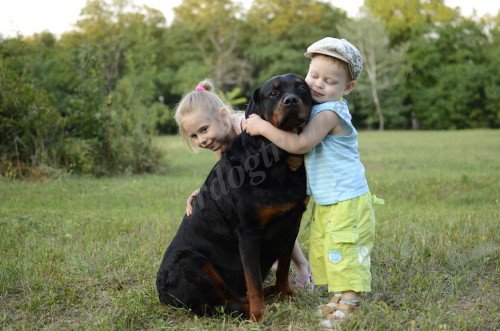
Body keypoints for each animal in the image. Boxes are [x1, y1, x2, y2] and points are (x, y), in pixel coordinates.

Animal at [156, 72, 312, 322]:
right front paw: (259, 316)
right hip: (190, 261)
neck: (277, 158)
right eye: (273, 93)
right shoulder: (248, 232)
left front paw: (284, 293)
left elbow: (284, 267)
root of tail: (162, 294)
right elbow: (254, 281)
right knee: (220, 305)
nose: (291, 100)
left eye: (301, 88)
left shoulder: (292, 222)